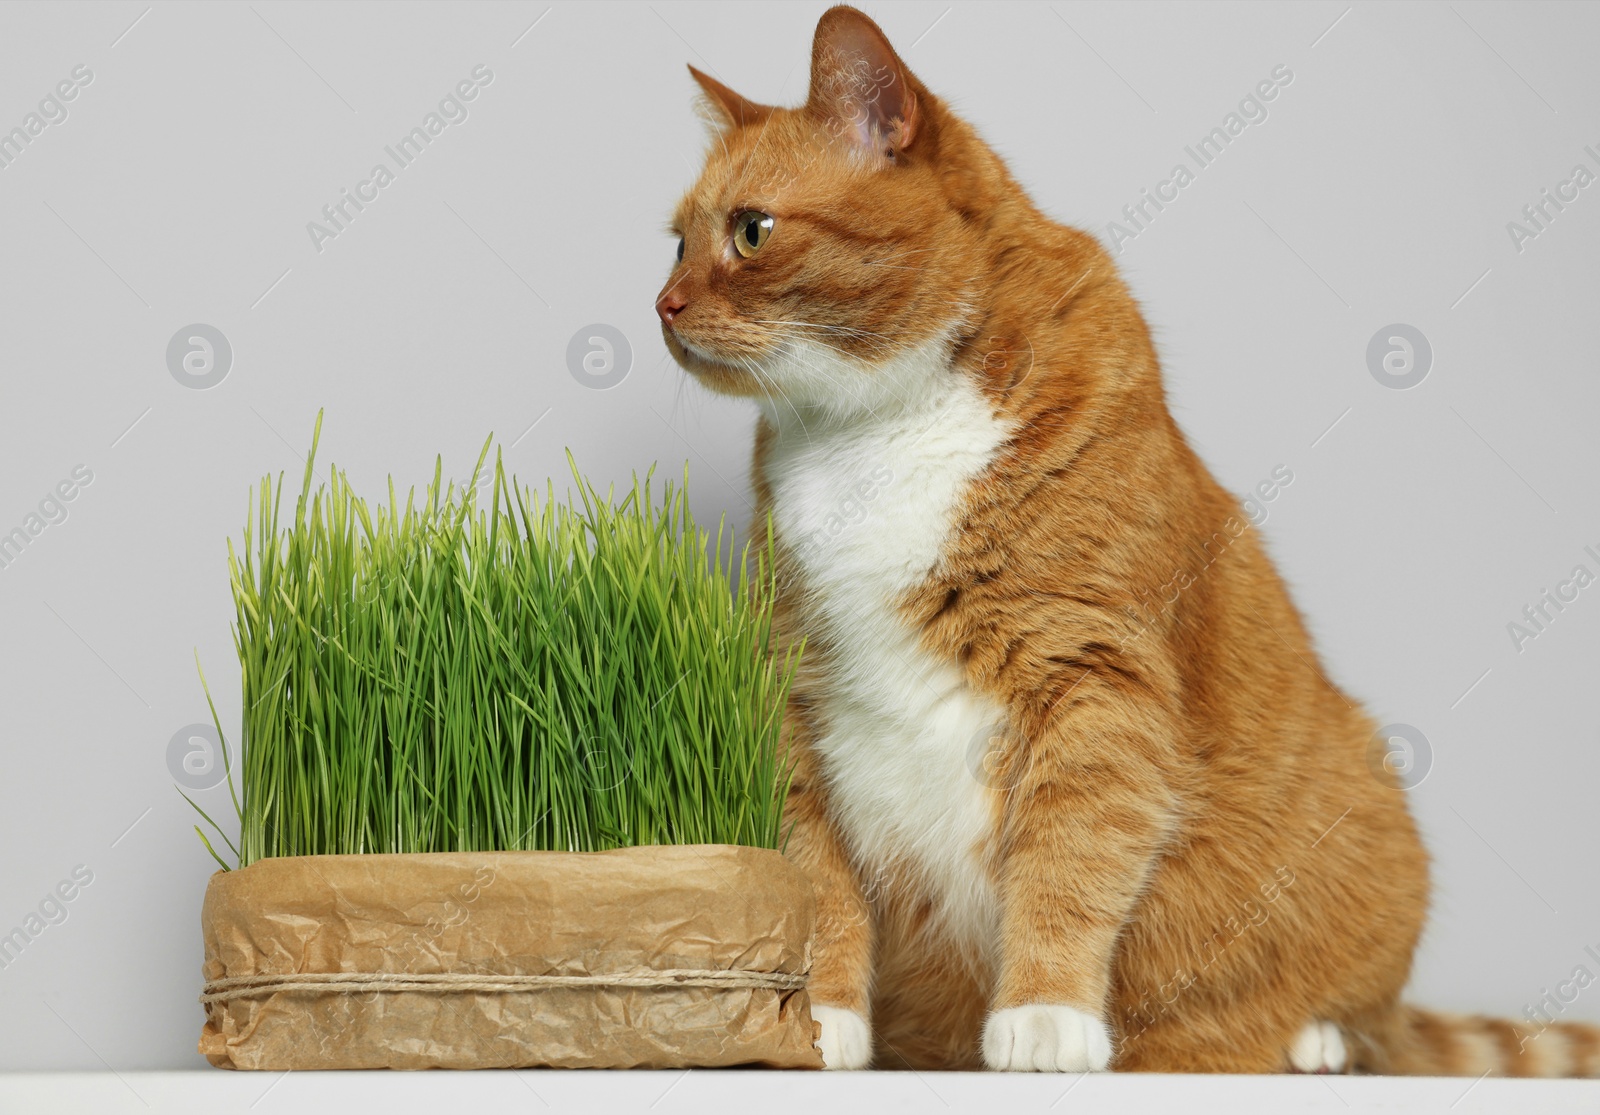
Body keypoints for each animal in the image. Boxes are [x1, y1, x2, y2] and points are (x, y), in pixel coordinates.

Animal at [656, 4, 1593, 1075]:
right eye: (673, 244)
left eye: (751, 231)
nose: (662, 306)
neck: (868, 431)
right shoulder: (801, 689)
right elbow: (817, 876)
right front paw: (819, 1021)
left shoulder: (1092, 672)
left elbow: (1072, 851)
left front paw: (1045, 1013)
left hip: (1370, 806)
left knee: (1370, 1016)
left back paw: (1311, 1041)